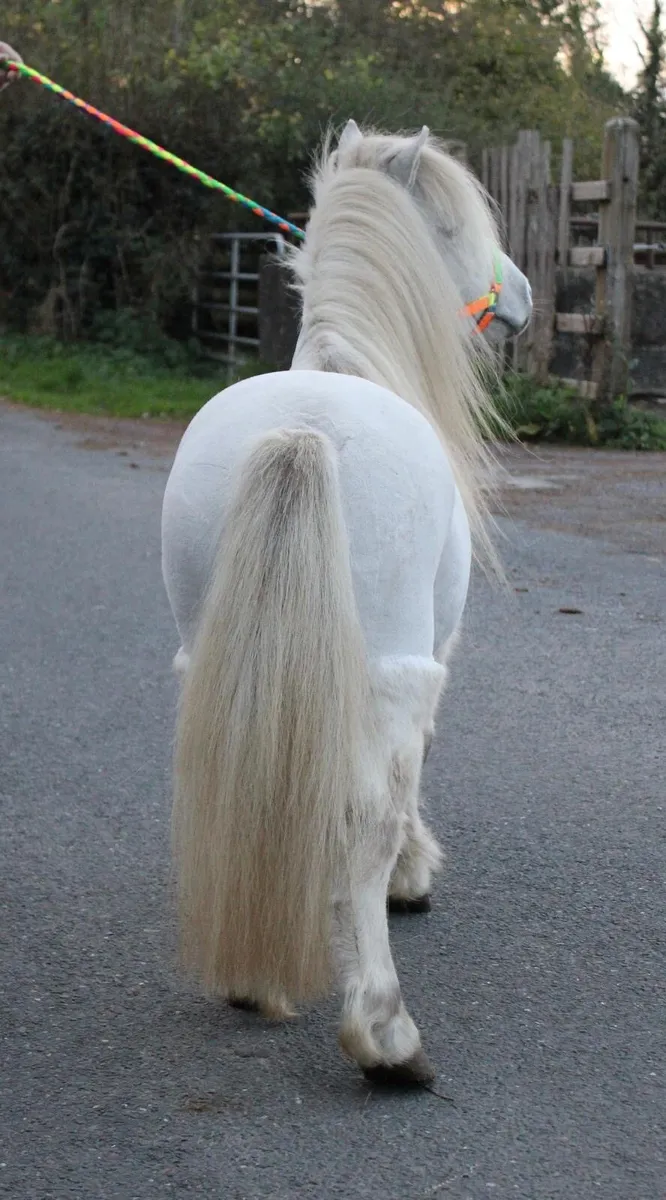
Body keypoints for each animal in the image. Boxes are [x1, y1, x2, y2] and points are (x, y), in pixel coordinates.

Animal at [161, 120, 532, 1086]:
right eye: (458, 228)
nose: (520, 295)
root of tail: (302, 433)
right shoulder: (431, 657)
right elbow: (409, 782)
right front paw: (414, 878)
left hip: (209, 655)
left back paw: (255, 979)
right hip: (392, 668)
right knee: (364, 819)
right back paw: (386, 1035)